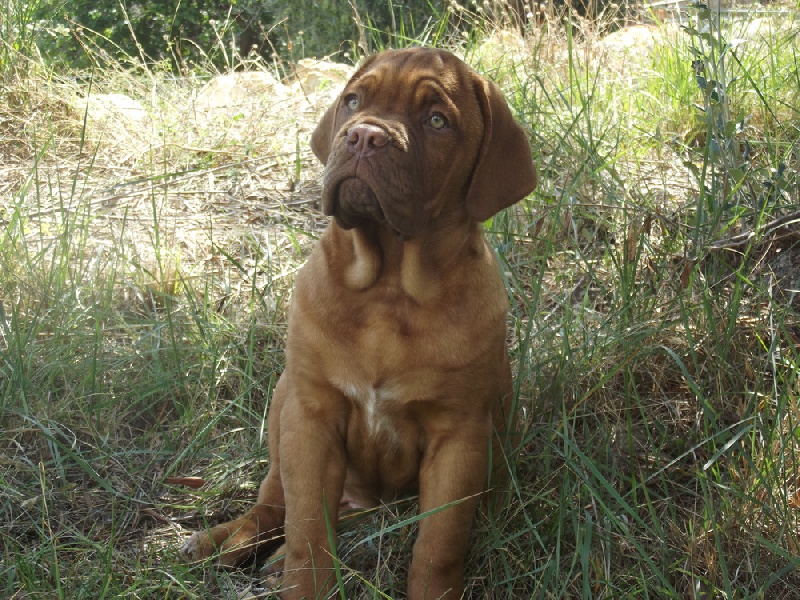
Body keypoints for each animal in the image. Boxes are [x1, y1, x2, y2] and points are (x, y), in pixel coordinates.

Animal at [183, 48, 536, 600]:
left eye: (437, 121)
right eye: (353, 100)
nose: (365, 136)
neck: (390, 289)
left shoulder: (458, 437)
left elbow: (438, 544)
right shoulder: (311, 417)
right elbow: (308, 527)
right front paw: (305, 586)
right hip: (284, 400)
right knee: (273, 503)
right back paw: (225, 541)